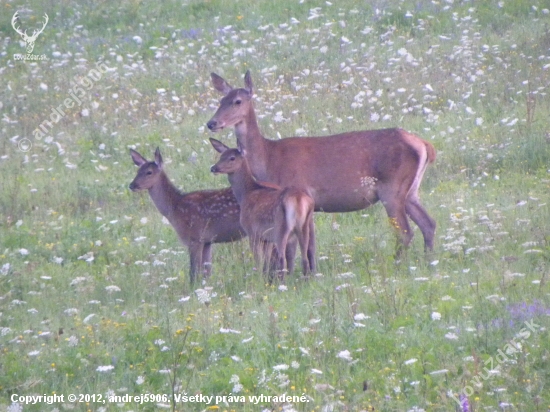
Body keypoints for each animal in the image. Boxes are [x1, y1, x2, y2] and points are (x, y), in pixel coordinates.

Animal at [129, 148, 246, 284]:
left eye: (149, 172)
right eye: (137, 171)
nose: (132, 185)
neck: (175, 208)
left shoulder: (194, 238)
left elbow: (194, 273)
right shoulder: (207, 241)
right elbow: (207, 273)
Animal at [209, 71, 438, 251]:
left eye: (237, 101)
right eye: (220, 101)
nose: (212, 123)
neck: (268, 159)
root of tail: (423, 144)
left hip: (392, 188)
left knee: (405, 232)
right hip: (411, 190)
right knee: (428, 224)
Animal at [210, 139, 316, 280]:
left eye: (232, 158)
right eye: (221, 156)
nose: (213, 168)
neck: (245, 194)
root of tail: (298, 200)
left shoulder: (252, 232)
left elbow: (258, 261)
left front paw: (258, 277)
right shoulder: (267, 238)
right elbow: (266, 261)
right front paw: (265, 277)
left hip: (280, 228)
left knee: (282, 258)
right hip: (303, 226)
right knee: (304, 257)